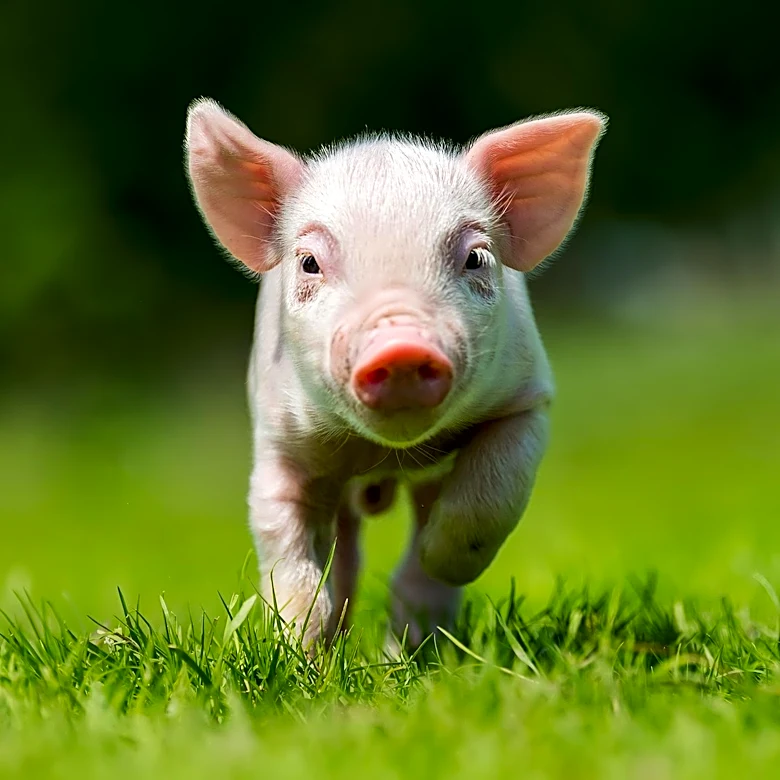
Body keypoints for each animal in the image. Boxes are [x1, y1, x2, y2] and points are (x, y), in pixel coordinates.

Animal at [184, 98, 606, 648]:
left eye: (476, 257)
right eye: (309, 263)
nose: (401, 345)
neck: (385, 454)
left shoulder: (526, 402)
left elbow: (493, 493)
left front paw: (439, 559)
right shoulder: (280, 441)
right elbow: (284, 543)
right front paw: (297, 646)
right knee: (345, 556)